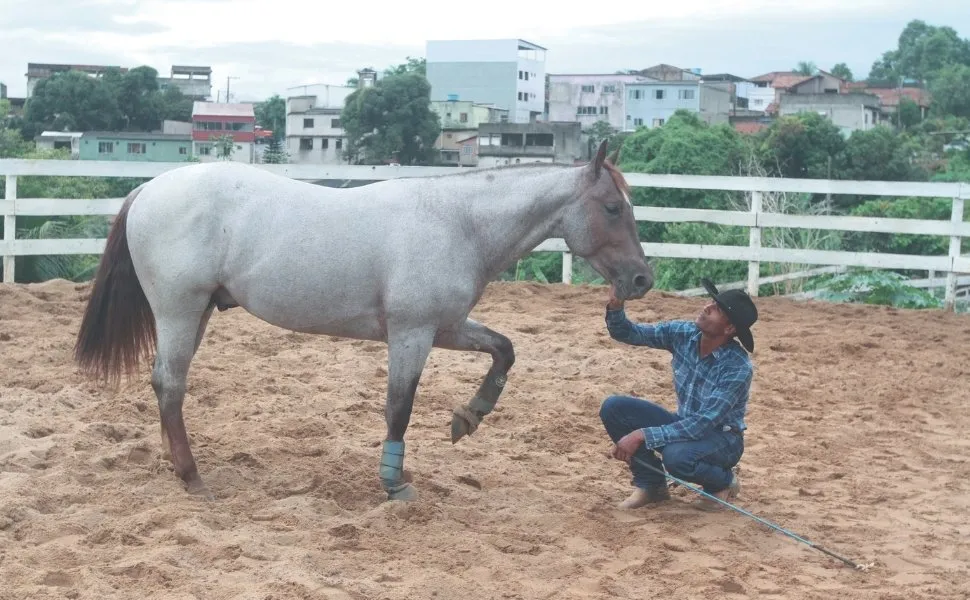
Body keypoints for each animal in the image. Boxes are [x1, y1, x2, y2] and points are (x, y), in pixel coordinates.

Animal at [73, 139, 652, 502]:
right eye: (613, 207)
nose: (642, 279)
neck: (457, 221)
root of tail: (148, 189)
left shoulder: (446, 328)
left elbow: (504, 349)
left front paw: (468, 417)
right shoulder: (412, 334)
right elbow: (399, 408)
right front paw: (394, 483)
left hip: (195, 315)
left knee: (167, 383)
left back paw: (179, 466)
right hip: (179, 309)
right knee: (170, 383)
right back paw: (193, 478)